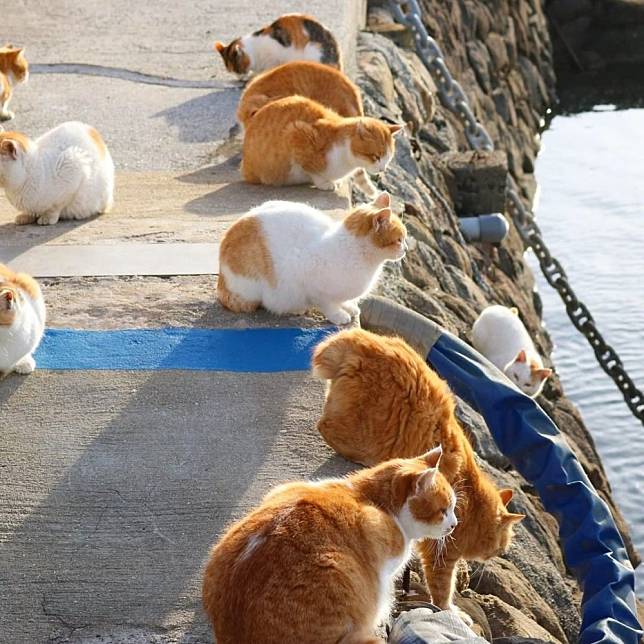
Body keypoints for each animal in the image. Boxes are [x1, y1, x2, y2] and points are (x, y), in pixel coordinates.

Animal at [216, 190, 408, 322]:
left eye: (404, 238)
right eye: (399, 240)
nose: (406, 249)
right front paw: (338, 315)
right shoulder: (312, 283)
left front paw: (349, 307)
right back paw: (295, 309)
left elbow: (343, 300)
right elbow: (328, 304)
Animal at [242, 93, 402, 194]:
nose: (382, 169)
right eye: (376, 156)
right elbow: (312, 169)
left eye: (388, 159)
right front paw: (325, 183)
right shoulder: (296, 134)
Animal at [310, 330, 524, 612]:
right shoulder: (441, 554)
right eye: (502, 547)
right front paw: (451, 610)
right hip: (362, 428)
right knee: (326, 428)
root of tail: (362, 338)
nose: (494, 556)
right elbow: (443, 590)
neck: (475, 502)